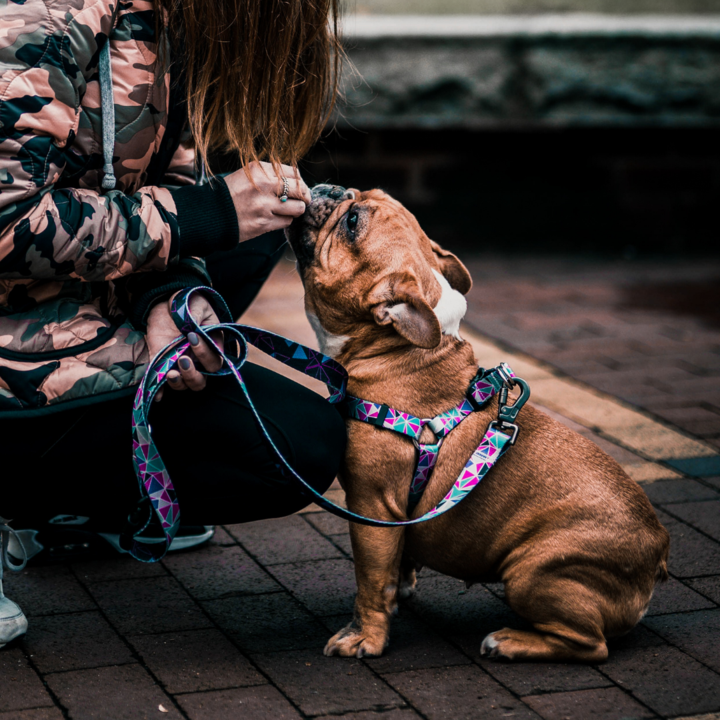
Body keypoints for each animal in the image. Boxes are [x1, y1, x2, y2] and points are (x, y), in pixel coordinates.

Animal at [286, 183, 668, 660]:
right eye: (358, 197)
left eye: (353, 223)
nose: (335, 188)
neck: (395, 351)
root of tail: (657, 553)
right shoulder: (394, 515)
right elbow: (397, 561)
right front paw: (401, 588)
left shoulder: (371, 506)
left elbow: (371, 581)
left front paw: (365, 637)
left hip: (532, 571)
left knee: (589, 644)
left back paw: (509, 641)